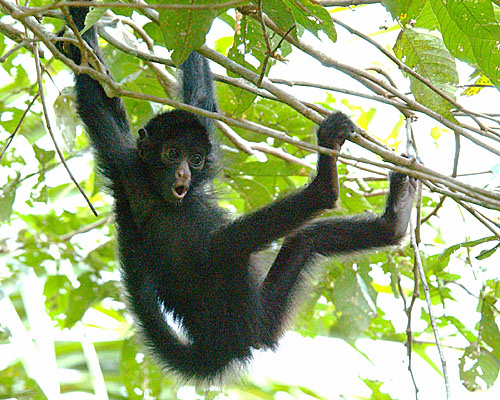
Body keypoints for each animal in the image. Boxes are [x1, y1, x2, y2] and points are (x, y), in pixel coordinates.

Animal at [59, 3, 418, 382]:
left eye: (196, 159)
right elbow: (94, 103)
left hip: (262, 313)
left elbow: (196, 101)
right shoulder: (124, 165)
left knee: (306, 240)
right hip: (237, 310)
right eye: (172, 154)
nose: (184, 173)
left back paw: (393, 222)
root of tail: (218, 348)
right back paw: (326, 185)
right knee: (223, 245)